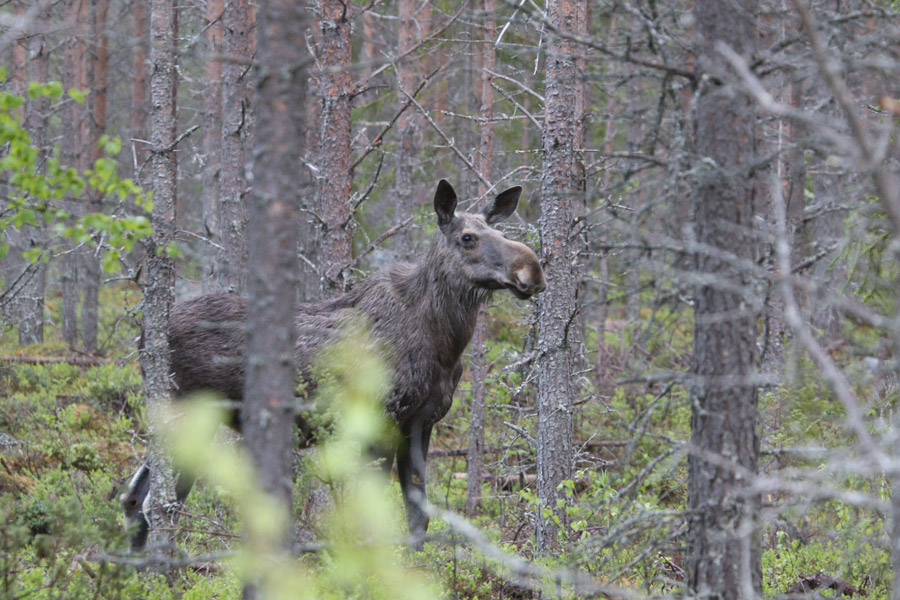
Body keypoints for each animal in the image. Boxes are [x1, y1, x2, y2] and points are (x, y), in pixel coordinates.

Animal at [122, 179, 546, 550]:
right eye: (468, 238)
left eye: (496, 229)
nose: (532, 269)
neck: (444, 343)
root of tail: (142, 337)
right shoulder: (381, 420)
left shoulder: (421, 423)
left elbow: (418, 516)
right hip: (185, 414)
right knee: (157, 503)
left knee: (134, 498)